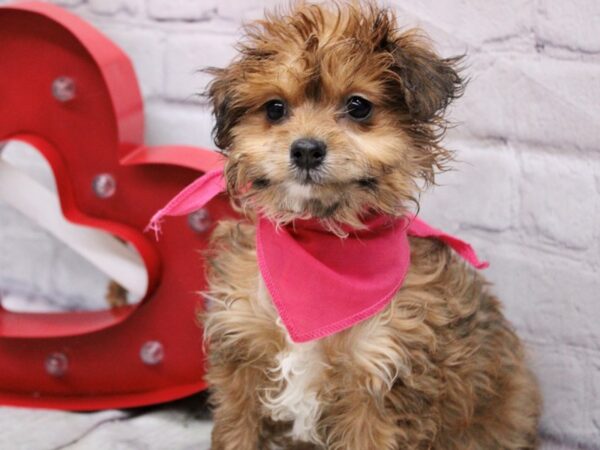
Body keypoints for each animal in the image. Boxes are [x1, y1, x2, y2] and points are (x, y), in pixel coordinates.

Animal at [199, 1, 540, 448]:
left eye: (358, 106)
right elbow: (238, 431)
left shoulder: (380, 380)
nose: (306, 149)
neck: (320, 241)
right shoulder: (241, 355)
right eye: (275, 108)